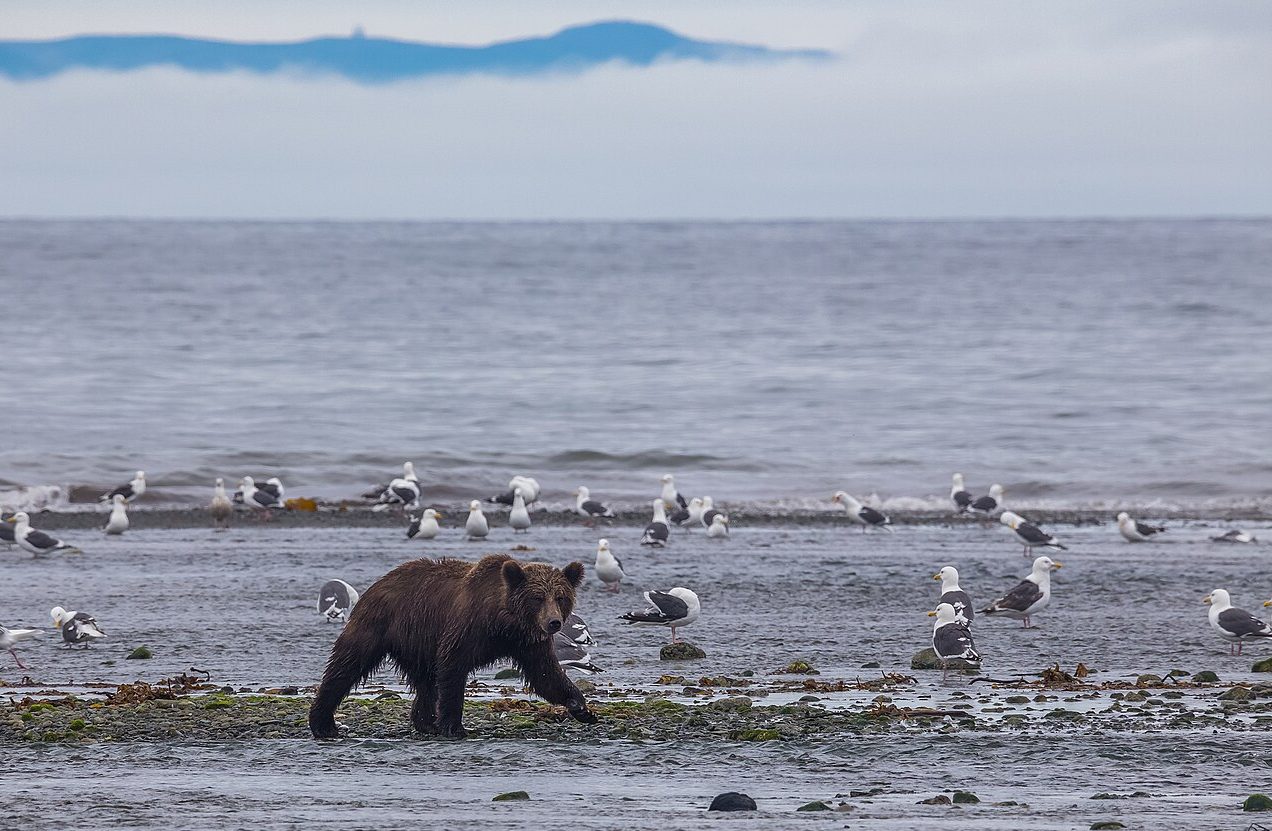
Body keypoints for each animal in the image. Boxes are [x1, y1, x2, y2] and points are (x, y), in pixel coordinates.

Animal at [309, 553, 598, 739]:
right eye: (537, 597)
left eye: (560, 596)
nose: (553, 622)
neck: (502, 622)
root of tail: (379, 582)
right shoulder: (466, 628)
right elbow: (452, 668)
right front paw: (454, 726)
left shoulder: (527, 642)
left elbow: (545, 674)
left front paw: (581, 708)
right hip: (379, 624)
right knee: (347, 664)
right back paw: (323, 724)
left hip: (417, 641)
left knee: (425, 681)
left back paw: (426, 722)